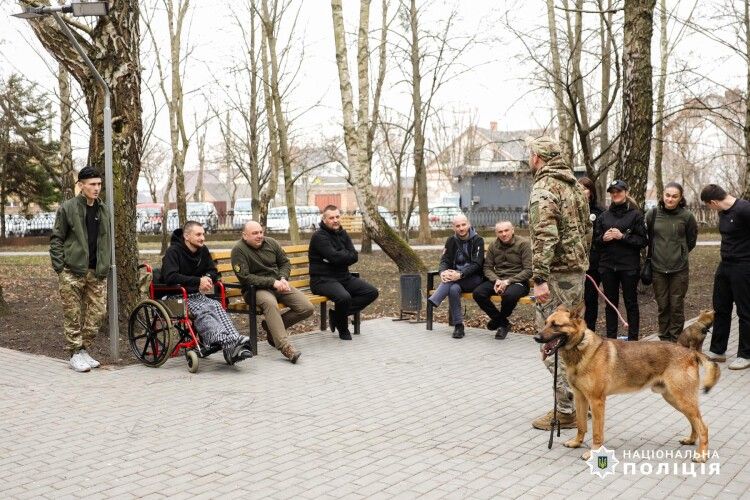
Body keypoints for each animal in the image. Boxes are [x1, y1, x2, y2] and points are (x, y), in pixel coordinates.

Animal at [536, 302, 724, 462]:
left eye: (556, 325)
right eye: (545, 323)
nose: (536, 338)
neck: (580, 349)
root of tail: (691, 353)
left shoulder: (597, 402)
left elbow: (597, 432)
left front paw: (593, 452)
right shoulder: (580, 397)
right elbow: (581, 425)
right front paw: (577, 442)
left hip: (682, 399)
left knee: (703, 427)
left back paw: (701, 455)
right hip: (676, 400)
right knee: (695, 422)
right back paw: (691, 441)